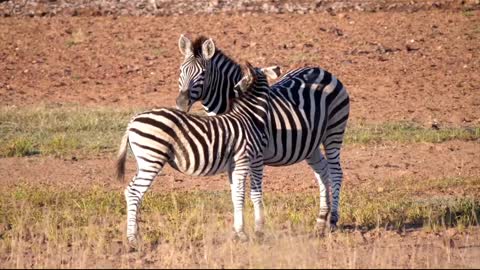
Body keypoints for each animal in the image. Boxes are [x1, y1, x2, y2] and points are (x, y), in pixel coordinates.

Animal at [116, 61, 282, 247]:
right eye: (264, 70)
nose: (278, 68)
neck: (249, 117)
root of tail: (133, 120)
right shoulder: (242, 160)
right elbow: (240, 195)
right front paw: (242, 234)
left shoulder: (232, 166)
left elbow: (234, 195)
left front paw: (237, 232)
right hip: (152, 158)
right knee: (134, 192)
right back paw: (133, 238)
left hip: (144, 161)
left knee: (130, 191)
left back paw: (135, 234)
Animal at [176, 34, 348, 231]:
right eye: (181, 70)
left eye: (203, 74)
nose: (181, 103)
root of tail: (322, 70)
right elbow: (235, 192)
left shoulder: (256, 156)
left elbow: (253, 193)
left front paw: (259, 227)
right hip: (310, 144)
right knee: (322, 171)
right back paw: (321, 219)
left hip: (334, 132)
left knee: (336, 172)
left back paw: (333, 219)